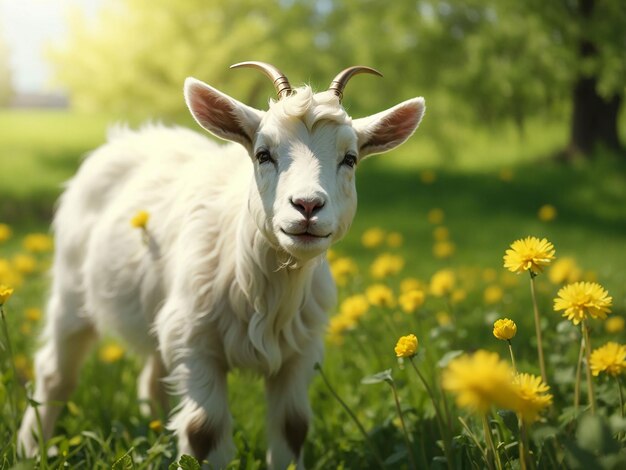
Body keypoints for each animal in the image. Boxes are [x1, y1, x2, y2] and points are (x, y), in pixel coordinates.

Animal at [17, 61, 424, 466]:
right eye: (263, 154)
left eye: (350, 158)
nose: (307, 205)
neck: (261, 287)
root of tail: (125, 138)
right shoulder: (196, 343)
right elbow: (203, 432)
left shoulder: (300, 351)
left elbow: (293, 426)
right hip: (73, 287)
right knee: (55, 372)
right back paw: (31, 448)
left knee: (151, 377)